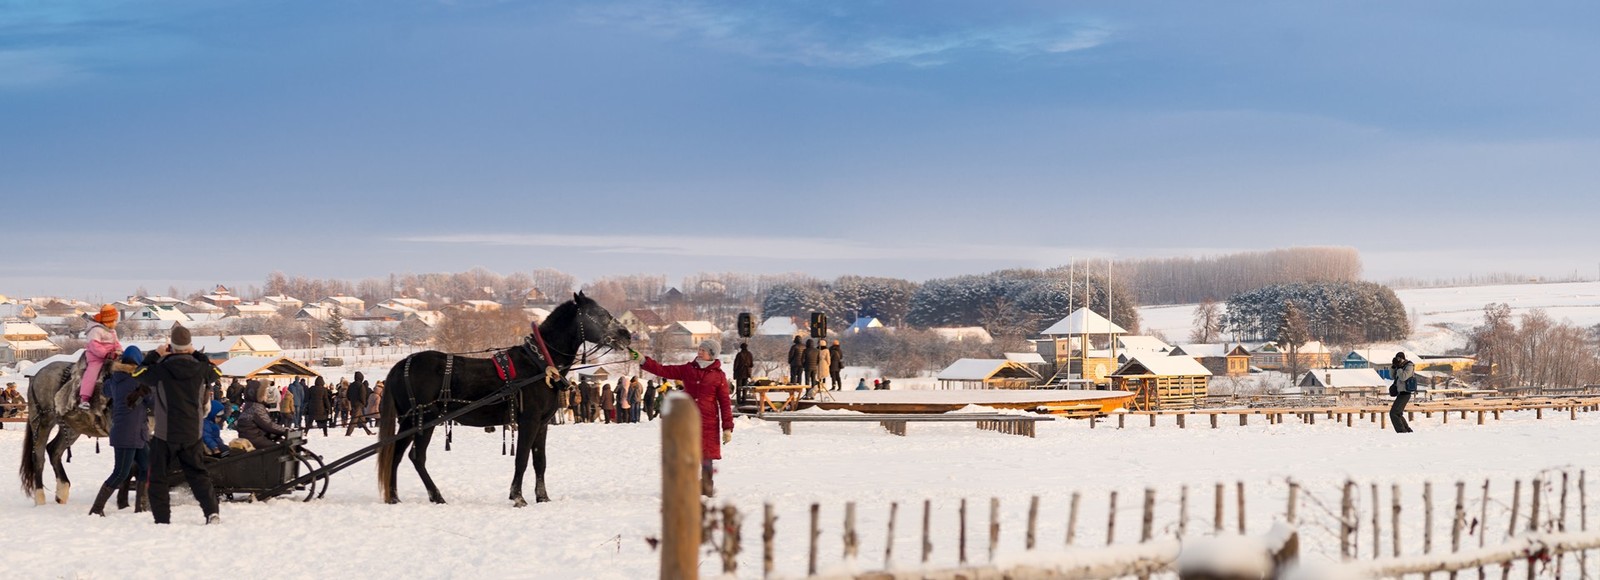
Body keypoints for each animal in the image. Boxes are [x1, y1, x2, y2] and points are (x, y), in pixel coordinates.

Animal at [17, 355, 112, 506]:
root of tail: (38, 375)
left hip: (71, 428)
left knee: (54, 449)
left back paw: (62, 490)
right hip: (43, 422)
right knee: (38, 456)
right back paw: (40, 498)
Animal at [379, 291, 630, 506]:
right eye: (599, 314)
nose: (627, 335)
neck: (539, 365)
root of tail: (402, 364)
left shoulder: (542, 424)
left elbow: (540, 461)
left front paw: (543, 497)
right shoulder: (528, 421)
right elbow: (522, 458)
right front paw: (518, 497)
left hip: (409, 421)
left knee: (396, 454)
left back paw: (394, 497)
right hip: (424, 420)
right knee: (416, 456)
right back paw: (436, 496)